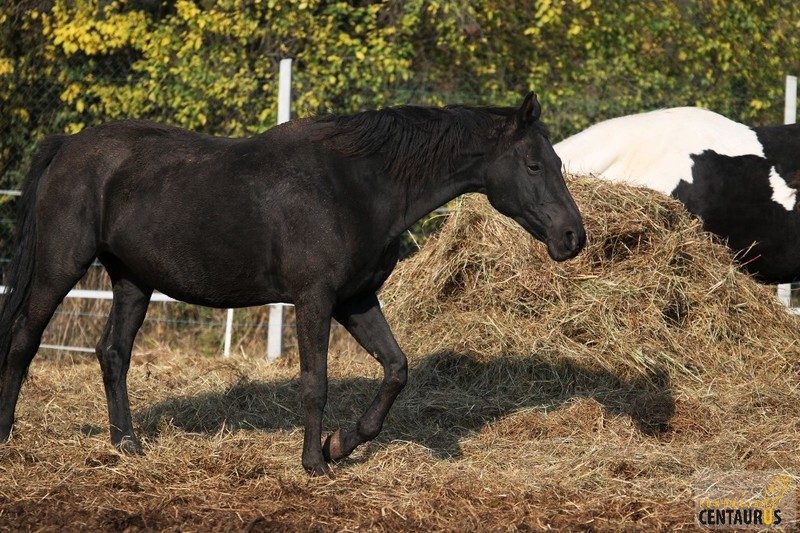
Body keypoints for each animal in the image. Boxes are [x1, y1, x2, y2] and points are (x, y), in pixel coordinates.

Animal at [1, 91, 588, 474]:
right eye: (534, 165)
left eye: (556, 160)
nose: (573, 236)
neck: (357, 185)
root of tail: (69, 146)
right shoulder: (315, 299)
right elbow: (315, 381)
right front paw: (314, 462)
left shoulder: (356, 300)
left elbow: (397, 369)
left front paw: (340, 444)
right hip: (60, 266)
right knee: (25, 341)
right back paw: (8, 434)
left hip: (131, 280)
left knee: (113, 353)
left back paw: (127, 446)